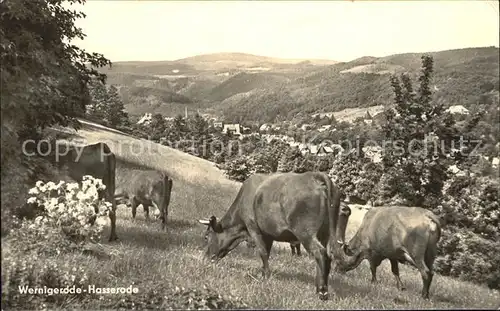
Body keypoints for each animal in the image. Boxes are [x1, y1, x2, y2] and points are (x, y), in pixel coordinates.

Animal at [197, 172, 350, 302]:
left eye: (206, 236)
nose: (204, 259)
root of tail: (315, 176)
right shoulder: (268, 235)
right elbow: (267, 252)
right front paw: (264, 273)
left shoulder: (254, 228)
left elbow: (263, 252)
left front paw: (265, 276)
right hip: (324, 233)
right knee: (324, 256)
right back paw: (318, 287)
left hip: (305, 232)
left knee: (320, 253)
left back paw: (322, 292)